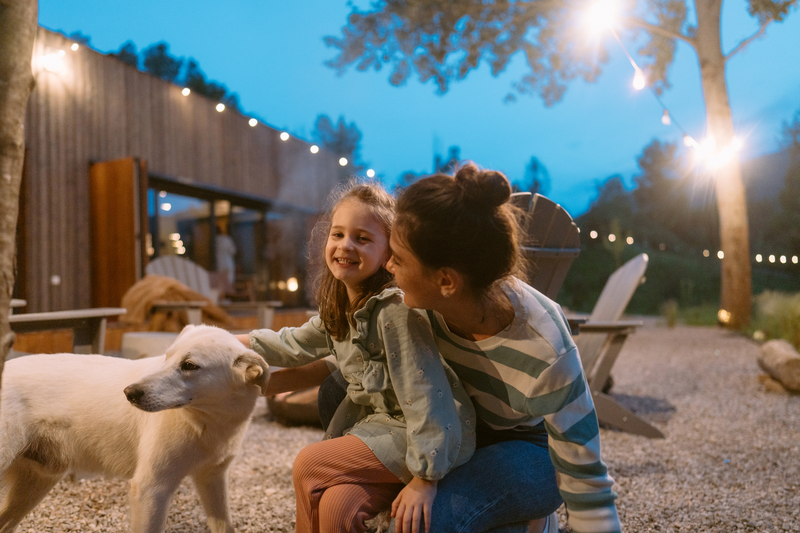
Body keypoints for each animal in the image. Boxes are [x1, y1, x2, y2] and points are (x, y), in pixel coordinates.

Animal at [0, 322, 268, 528]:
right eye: (167, 357)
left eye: (189, 365)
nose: (129, 393)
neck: (207, 422)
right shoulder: (151, 489)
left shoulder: (212, 479)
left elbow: (224, 525)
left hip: (36, 485)